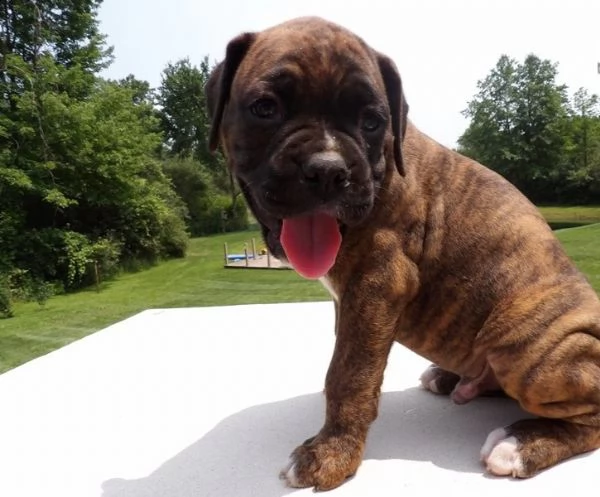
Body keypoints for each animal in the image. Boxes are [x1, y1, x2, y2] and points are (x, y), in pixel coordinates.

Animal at [205, 16, 600, 492]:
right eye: (265, 108)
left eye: (372, 121)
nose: (328, 170)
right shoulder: (352, 299)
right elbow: (344, 356)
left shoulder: (378, 282)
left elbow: (349, 373)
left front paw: (331, 452)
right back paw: (453, 379)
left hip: (525, 345)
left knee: (590, 419)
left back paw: (521, 444)